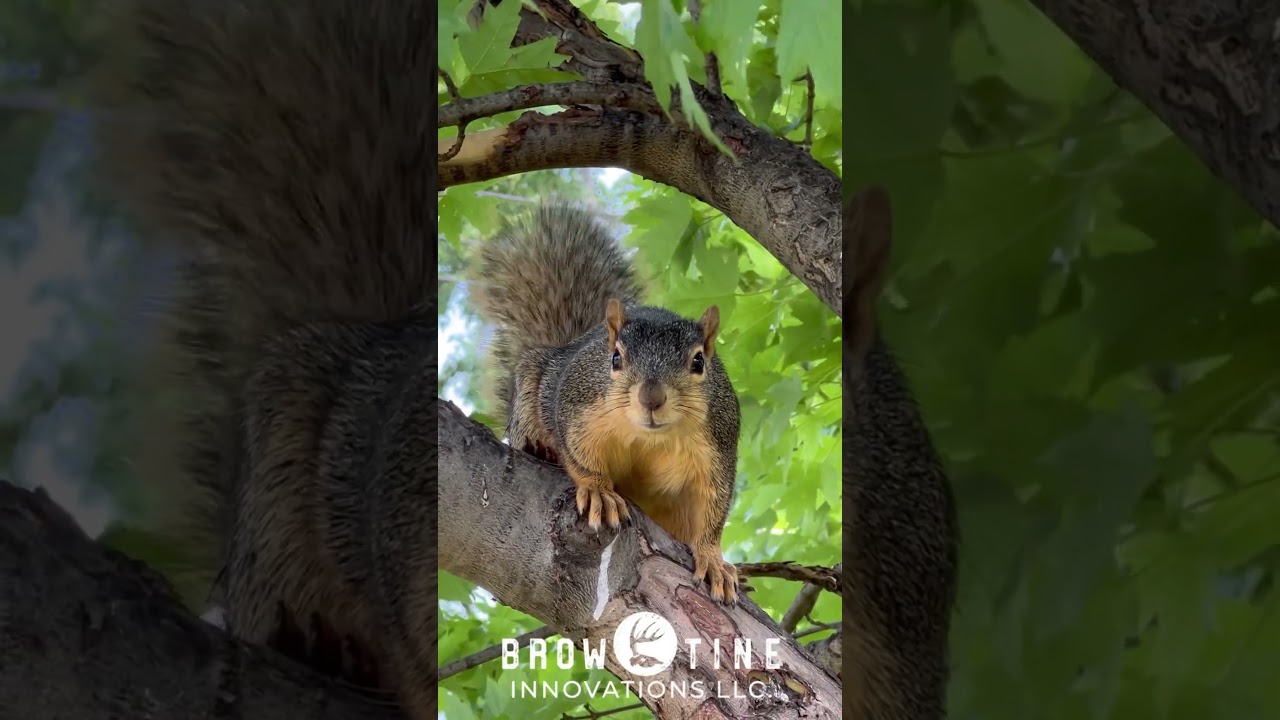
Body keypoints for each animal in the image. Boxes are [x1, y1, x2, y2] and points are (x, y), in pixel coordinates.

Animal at [471, 204, 743, 603]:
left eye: (699, 362)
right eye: (615, 358)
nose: (651, 398)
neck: (649, 438)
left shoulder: (718, 445)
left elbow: (713, 508)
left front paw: (713, 559)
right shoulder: (575, 409)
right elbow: (580, 456)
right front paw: (599, 491)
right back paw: (538, 447)